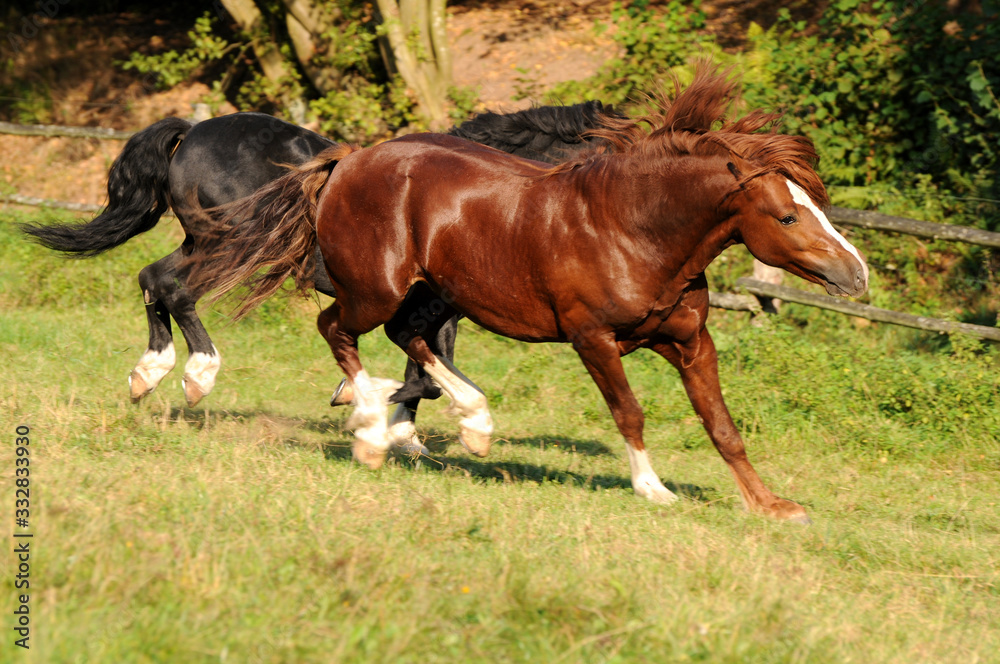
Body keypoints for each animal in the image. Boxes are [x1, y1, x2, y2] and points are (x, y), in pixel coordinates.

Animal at [21, 105, 616, 452]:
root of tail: (192, 132)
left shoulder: (438, 307)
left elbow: (429, 366)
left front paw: (401, 430)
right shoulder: (428, 304)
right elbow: (427, 372)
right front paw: (364, 404)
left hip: (204, 242)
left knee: (154, 278)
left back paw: (150, 373)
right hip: (235, 244)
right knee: (173, 288)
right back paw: (198, 374)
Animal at [189, 68, 868, 524]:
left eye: (817, 203)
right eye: (786, 216)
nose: (857, 276)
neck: (633, 230)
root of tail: (349, 160)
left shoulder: (689, 341)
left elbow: (722, 426)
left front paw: (773, 505)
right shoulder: (593, 339)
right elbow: (629, 411)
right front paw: (653, 489)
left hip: (426, 292)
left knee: (407, 340)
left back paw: (473, 425)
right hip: (375, 288)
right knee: (338, 329)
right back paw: (370, 429)